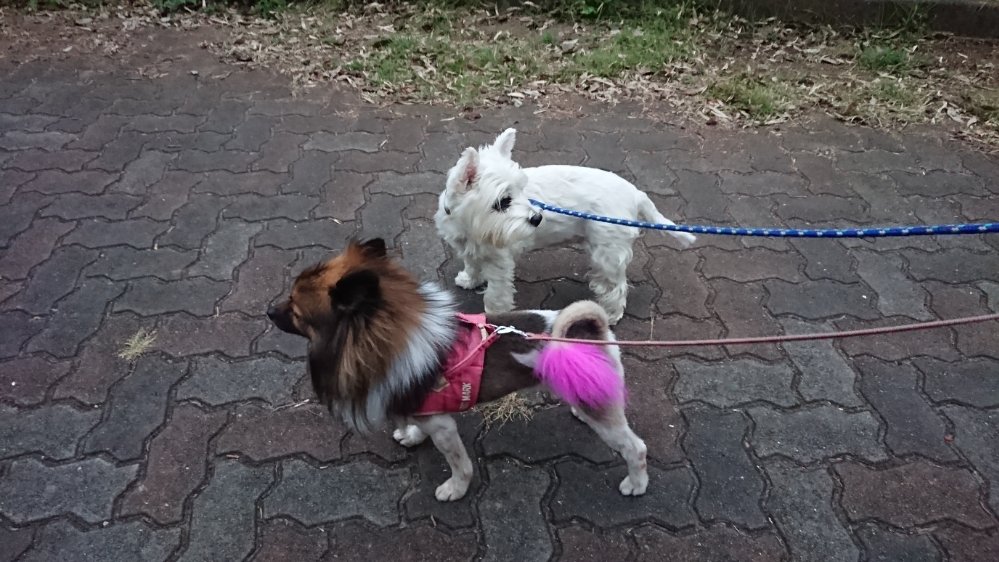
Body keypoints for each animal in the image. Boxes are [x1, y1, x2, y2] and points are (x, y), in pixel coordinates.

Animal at [267, 238, 648, 502]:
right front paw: (411, 435)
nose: (269, 311)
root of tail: (592, 328)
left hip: (610, 424)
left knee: (636, 448)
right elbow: (415, 425)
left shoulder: (443, 426)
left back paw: (636, 483)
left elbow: (460, 464)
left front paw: (454, 488)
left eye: (295, 309)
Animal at [435, 128, 696, 324]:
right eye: (503, 201)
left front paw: (494, 318)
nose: (537, 219)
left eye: (522, 189)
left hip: (608, 251)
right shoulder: (468, 248)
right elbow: (471, 265)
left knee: (617, 286)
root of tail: (635, 193)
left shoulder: (500, 263)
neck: (469, 224)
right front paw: (469, 279)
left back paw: (610, 314)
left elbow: (495, 295)